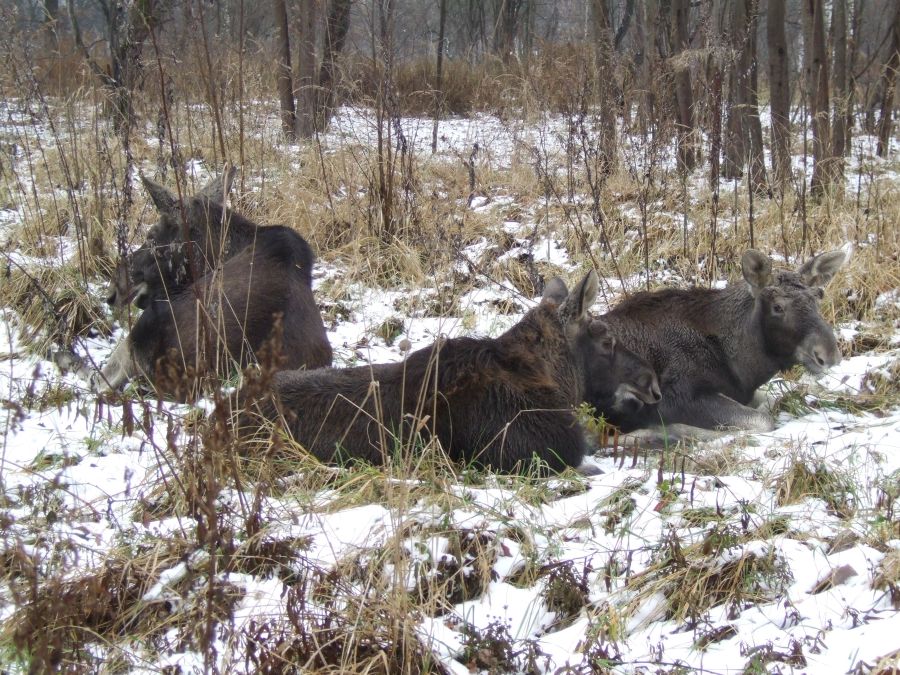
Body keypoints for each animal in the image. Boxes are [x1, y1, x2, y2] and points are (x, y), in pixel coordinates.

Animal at [600, 248, 848, 434]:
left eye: (818, 296)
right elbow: (764, 420)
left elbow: (770, 401)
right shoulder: (675, 398)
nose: (828, 354)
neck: (741, 366)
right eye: (777, 306)